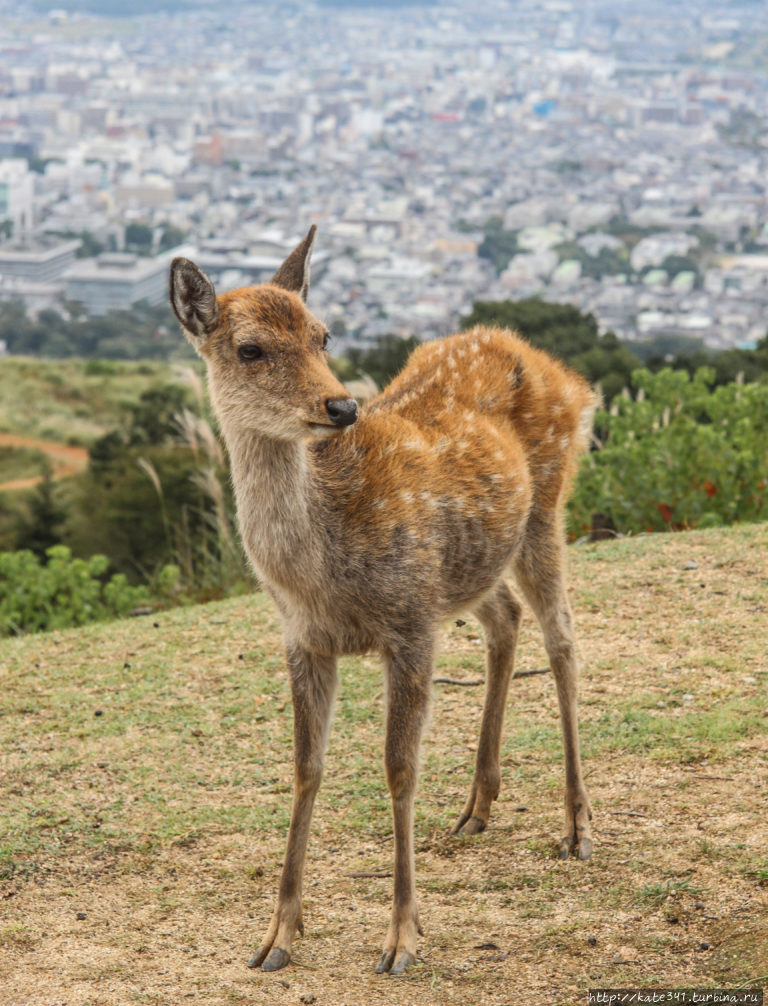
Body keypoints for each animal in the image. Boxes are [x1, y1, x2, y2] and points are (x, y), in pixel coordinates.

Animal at [171, 228, 595, 973]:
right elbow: (306, 768)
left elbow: (399, 768)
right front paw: (277, 936)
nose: (341, 407)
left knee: (564, 638)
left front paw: (401, 938)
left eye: (323, 335)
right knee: (506, 618)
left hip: (546, 503)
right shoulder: (304, 638)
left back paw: (576, 825)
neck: (320, 571)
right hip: (468, 566)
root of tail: (569, 378)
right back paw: (476, 806)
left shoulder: (410, 623)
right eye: (250, 348)